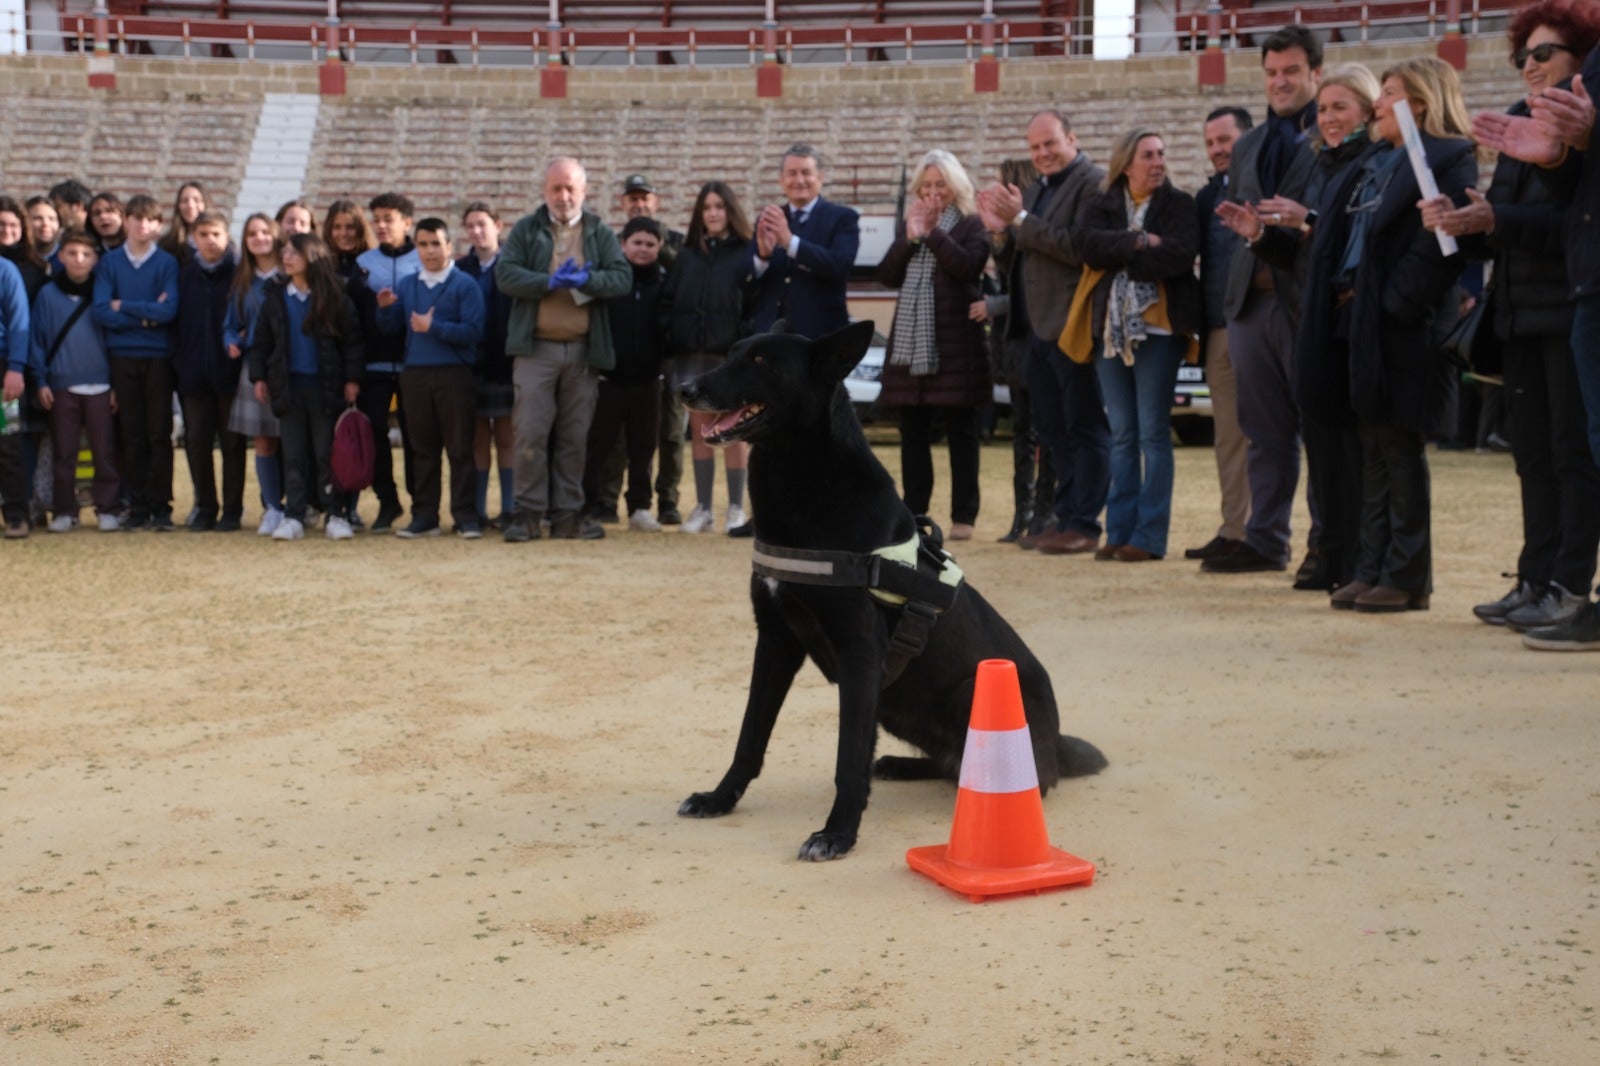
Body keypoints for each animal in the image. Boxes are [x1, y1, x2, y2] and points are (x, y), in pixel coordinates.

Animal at [672, 320, 1100, 857]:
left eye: (760, 362)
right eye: (731, 353)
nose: (684, 389)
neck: (807, 481)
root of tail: (1057, 743)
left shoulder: (859, 654)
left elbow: (848, 756)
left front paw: (837, 832)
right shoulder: (774, 643)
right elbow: (750, 736)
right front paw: (719, 798)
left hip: (971, 690)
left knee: (1004, 776)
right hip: (897, 705)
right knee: (946, 763)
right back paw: (900, 765)